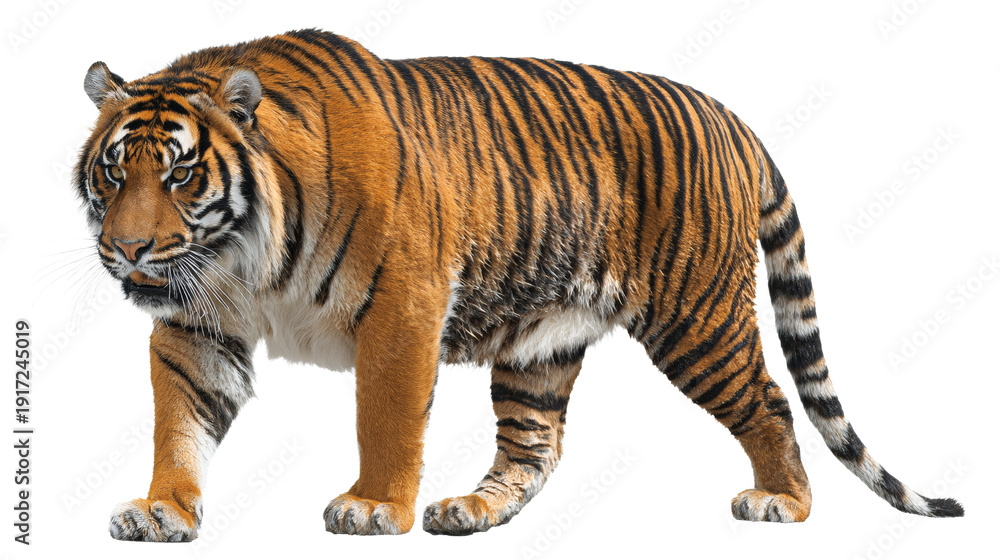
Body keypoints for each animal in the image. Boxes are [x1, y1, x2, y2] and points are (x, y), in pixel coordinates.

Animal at [74, 28, 963, 541]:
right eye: (115, 172)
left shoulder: (402, 307)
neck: (242, 257)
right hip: (542, 343)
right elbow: (179, 421)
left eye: (182, 174)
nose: (127, 249)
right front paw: (163, 509)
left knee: (773, 401)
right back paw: (470, 512)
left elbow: (386, 419)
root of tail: (731, 119)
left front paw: (373, 508)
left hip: (697, 319)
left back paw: (782, 503)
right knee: (537, 446)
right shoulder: (197, 323)